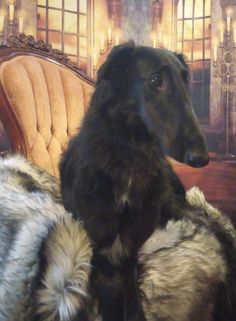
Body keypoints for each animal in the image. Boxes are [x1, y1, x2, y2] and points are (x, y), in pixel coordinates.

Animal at [60, 42, 210, 320]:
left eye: (186, 80)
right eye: (155, 79)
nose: (202, 158)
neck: (129, 160)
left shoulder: (129, 251)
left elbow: (131, 299)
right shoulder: (100, 252)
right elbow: (110, 300)